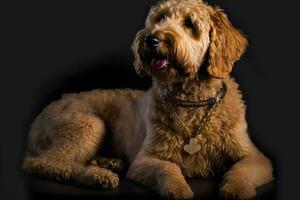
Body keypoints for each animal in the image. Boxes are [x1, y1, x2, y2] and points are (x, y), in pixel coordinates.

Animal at [22, 0, 274, 198]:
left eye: (189, 23)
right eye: (160, 18)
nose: (151, 39)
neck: (192, 102)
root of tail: (38, 120)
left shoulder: (256, 157)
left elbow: (240, 171)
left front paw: (236, 190)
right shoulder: (145, 160)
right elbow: (168, 169)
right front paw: (178, 190)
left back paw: (108, 163)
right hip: (88, 124)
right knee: (46, 163)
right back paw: (96, 176)